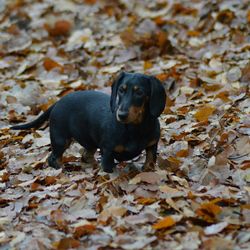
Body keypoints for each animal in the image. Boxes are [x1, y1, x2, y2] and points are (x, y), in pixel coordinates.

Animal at [10, 72, 166, 172]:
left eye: (139, 92)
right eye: (121, 90)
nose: (121, 115)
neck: (134, 128)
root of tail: (58, 101)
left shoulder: (152, 145)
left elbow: (149, 162)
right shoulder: (107, 152)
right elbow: (108, 169)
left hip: (89, 142)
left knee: (85, 156)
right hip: (61, 139)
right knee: (53, 159)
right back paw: (62, 170)